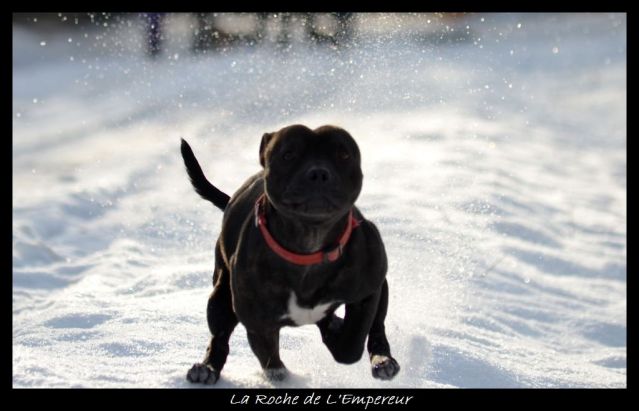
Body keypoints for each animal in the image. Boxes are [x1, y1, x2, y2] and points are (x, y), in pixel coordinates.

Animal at [181, 124, 400, 384]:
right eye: (288, 155)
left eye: (343, 155)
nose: (318, 173)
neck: (308, 249)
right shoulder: (257, 322)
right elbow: (270, 358)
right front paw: (280, 373)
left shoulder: (368, 291)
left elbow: (351, 345)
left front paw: (337, 336)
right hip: (220, 295)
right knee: (219, 337)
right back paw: (206, 369)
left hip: (381, 289)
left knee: (377, 329)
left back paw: (382, 361)